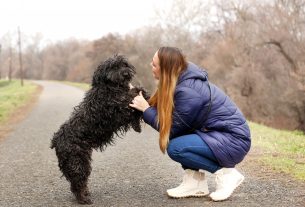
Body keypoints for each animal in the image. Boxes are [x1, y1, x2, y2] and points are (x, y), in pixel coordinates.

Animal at [50, 54, 148, 204]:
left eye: (124, 64)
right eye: (113, 67)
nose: (126, 73)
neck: (109, 87)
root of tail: (56, 140)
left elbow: (136, 107)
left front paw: (137, 125)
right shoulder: (117, 108)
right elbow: (132, 96)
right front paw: (141, 94)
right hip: (77, 162)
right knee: (77, 182)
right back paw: (83, 199)